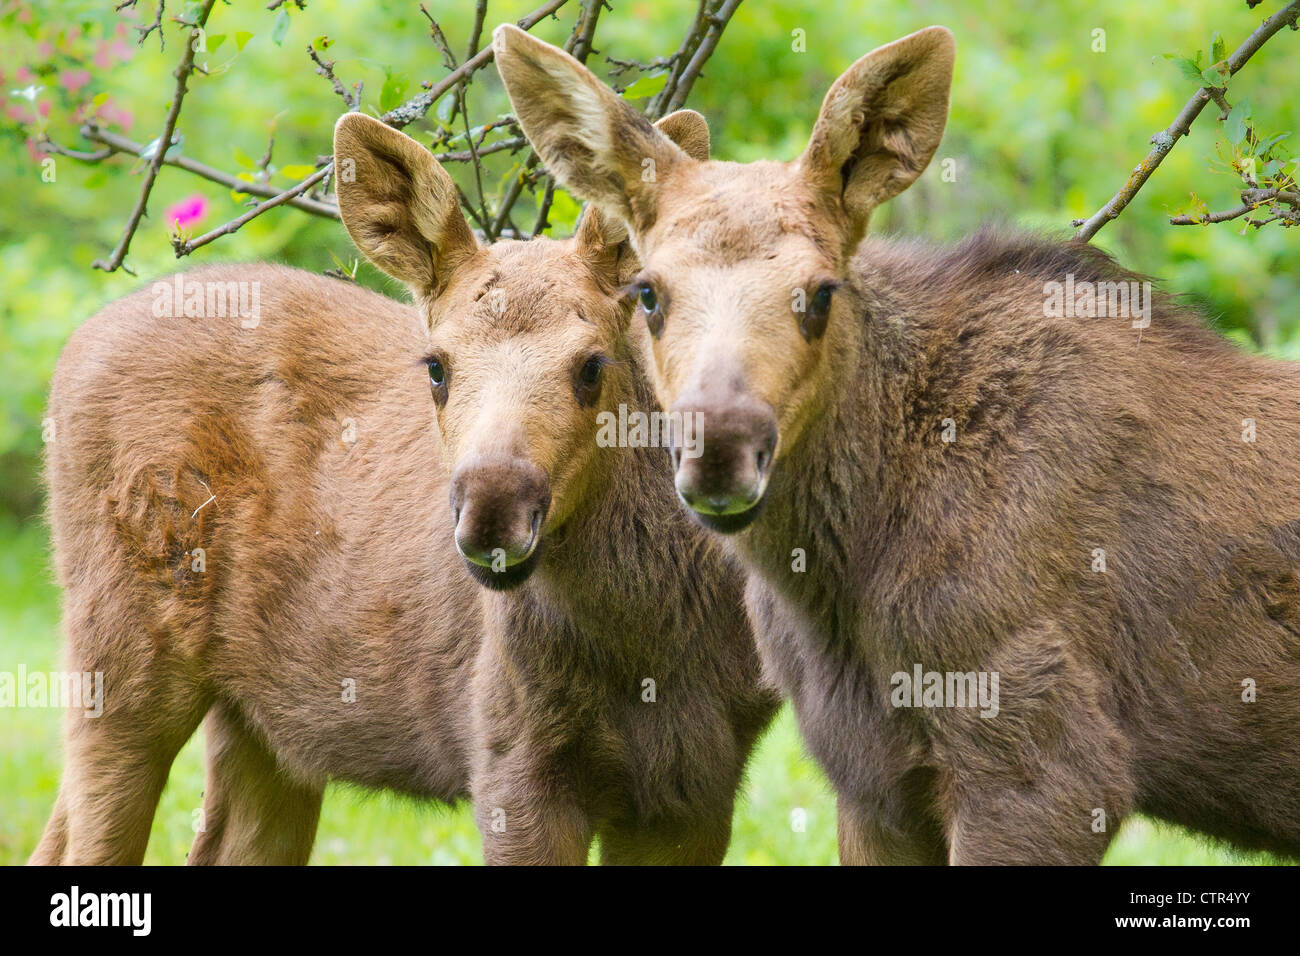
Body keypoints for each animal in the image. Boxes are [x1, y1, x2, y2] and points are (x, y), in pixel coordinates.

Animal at [29, 107, 778, 866]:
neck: (651, 641)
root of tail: (72, 350)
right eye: (437, 366)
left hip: (260, 723)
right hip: (117, 657)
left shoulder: (698, 785)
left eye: (593, 364)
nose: (493, 512)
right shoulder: (508, 753)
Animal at [493, 22, 1300, 864]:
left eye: (821, 291)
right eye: (647, 292)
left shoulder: (1048, 760)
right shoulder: (872, 782)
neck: (842, 578)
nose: (720, 450)